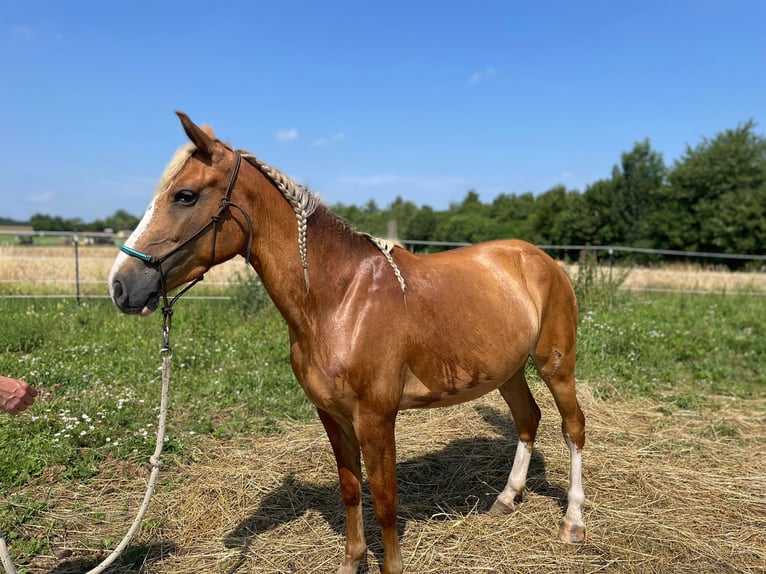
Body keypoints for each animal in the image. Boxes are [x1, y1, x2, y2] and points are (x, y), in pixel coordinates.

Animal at [108, 113, 588, 574]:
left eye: (185, 196)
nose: (121, 285)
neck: (340, 299)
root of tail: (540, 258)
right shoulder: (332, 415)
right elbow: (351, 490)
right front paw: (351, 560)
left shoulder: (376, 418)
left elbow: (386, 502)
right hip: (508, 371)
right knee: (527, 420)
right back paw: (506, 499)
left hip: (556, 366)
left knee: (573, 427)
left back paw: (573, 523)